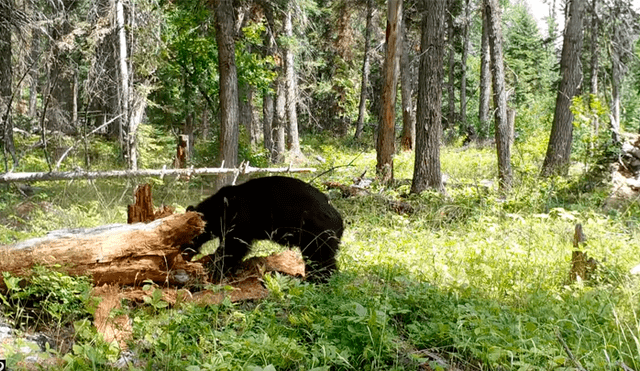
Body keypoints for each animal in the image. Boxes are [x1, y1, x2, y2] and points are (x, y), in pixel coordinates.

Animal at [184, 177, 344, 282]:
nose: (183, 252)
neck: (219, 210)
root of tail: (339, 219)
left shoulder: (240, 221)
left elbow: (233, 246)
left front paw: (217, 268)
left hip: (316, 233)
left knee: (320, 258)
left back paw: (319, 278)